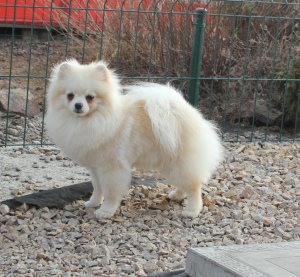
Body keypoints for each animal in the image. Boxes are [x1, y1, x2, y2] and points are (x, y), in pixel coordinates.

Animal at [45, 59, 223, 219]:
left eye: (90, 97)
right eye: (70, 95)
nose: (78, 105)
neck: (94, 119)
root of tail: (184, 109)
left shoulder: (111, 168)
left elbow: (110, 192)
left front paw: (105, 211)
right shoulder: (95, 167)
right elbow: (97, 188)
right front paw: (93, 202)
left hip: (180, 161)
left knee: (193, 187)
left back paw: (192, 211)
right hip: (171, 162)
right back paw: (177, 195)